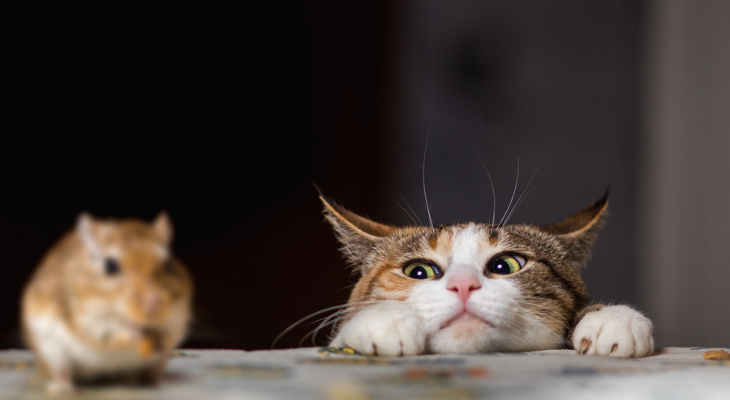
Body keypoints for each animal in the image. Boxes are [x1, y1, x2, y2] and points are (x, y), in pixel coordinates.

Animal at [21, 212, 193, 394]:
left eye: (168, 264)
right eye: (110, 266)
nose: (153, 303)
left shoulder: (178, 317)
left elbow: (169, 334)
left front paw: (161, 340)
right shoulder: (91, 324)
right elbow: (117, 335)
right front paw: (137, 333)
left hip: (157, 364)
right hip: (51, 351)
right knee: (61, 372)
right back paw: (61, 388)